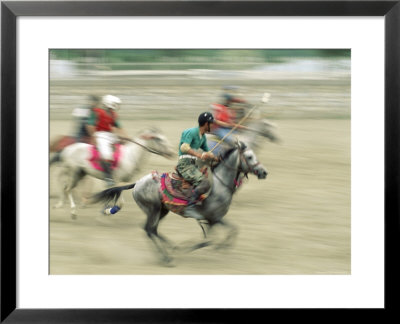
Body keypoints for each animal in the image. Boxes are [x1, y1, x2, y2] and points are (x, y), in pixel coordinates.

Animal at [91, 142, 268, 266]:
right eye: (249, 156)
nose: (264, 172)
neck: (219, 185)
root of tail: (137, 184)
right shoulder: (214, 218)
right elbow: (218, 236)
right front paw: (190, 247)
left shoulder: (212, 220)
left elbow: (222, 234)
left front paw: (218, 247)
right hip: (153, 209)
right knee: (149, 229)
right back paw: (167, 258)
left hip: (162, 210)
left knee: (153, 230)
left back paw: (170, 248)